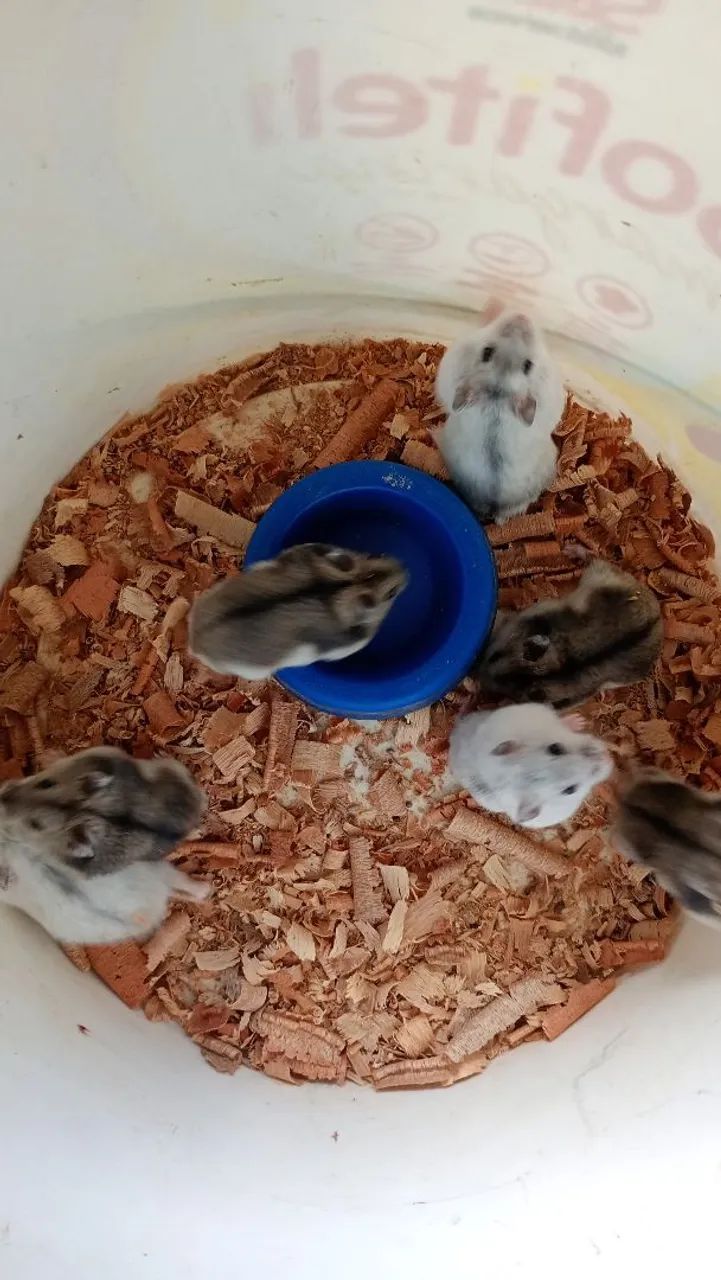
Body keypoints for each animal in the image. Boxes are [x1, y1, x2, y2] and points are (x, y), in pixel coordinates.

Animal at [449, 702, 612, 829]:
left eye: (555, 748)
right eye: (570, 790)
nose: (606, 756)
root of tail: (455, 736)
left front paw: (580, 721)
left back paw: (577, 720)